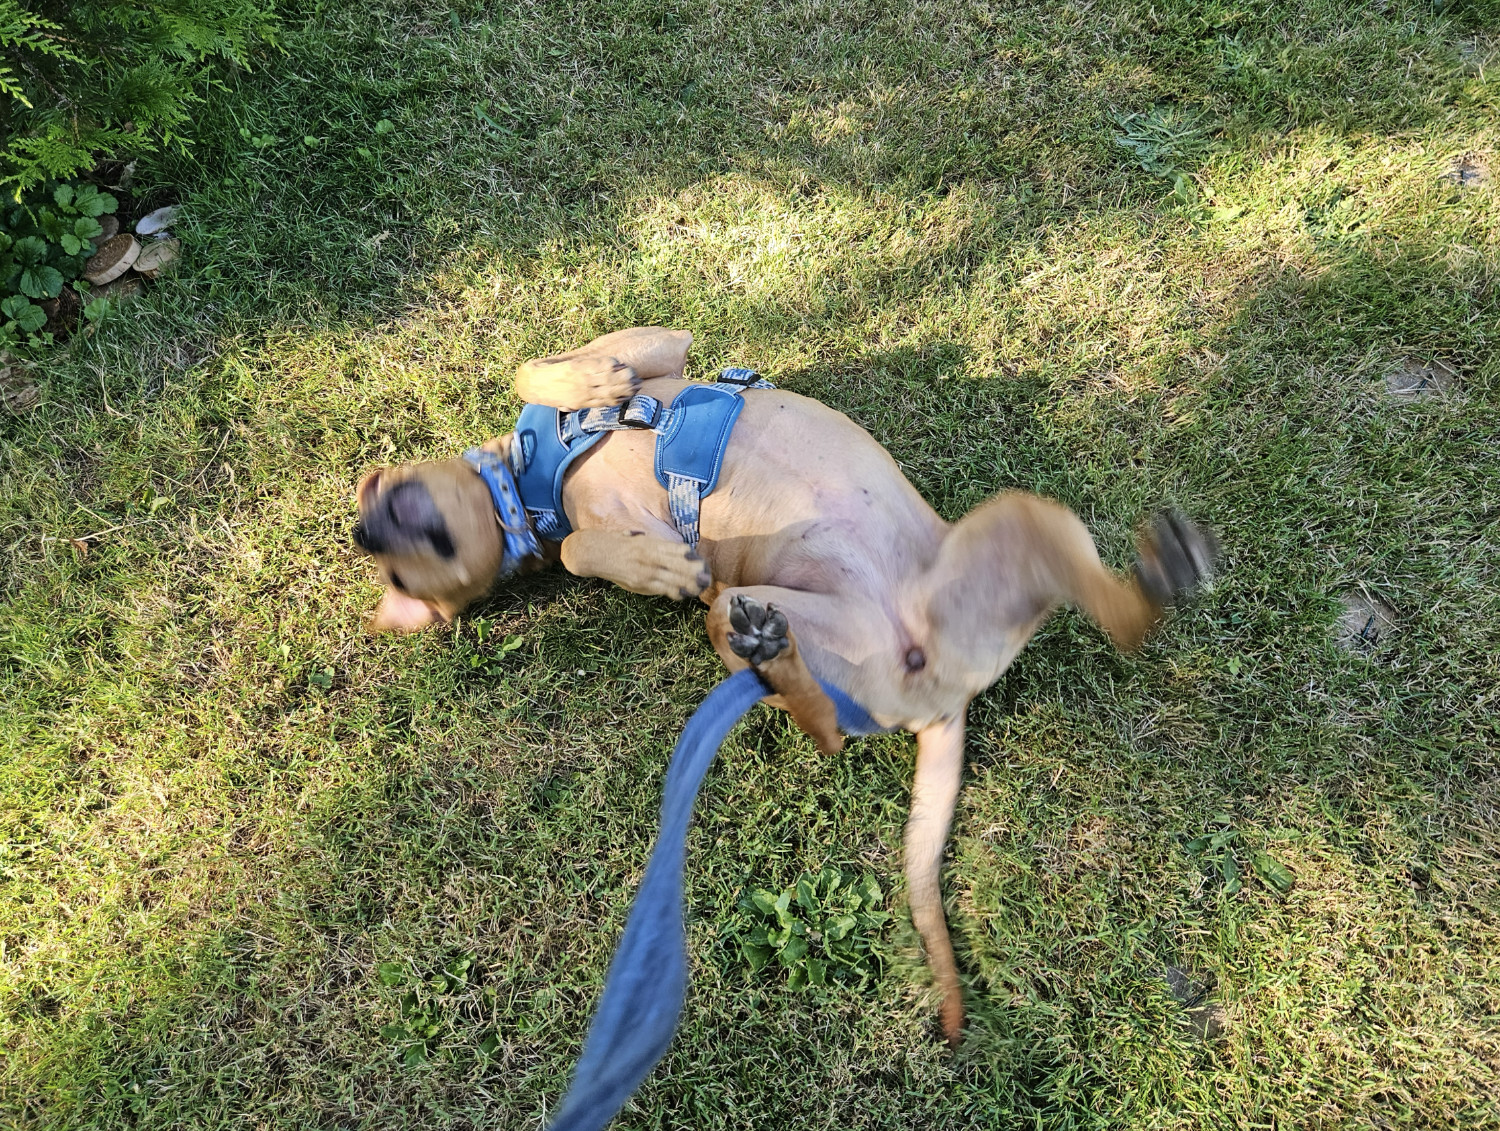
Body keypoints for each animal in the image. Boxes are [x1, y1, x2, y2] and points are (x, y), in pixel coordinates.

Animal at [354, 324, 1218, 1038]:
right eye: (392, 572)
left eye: (388, 541)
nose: (362, 531)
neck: (532, 488)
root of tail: (940, 693)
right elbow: (579, 547)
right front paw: (651, 560)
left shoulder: (659, 342)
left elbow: (540, 367)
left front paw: (593, 383)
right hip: (753, 609)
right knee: (826, 731)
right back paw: (776, 656)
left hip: (1016, 521)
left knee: (1114, 613)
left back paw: (1166, 570)